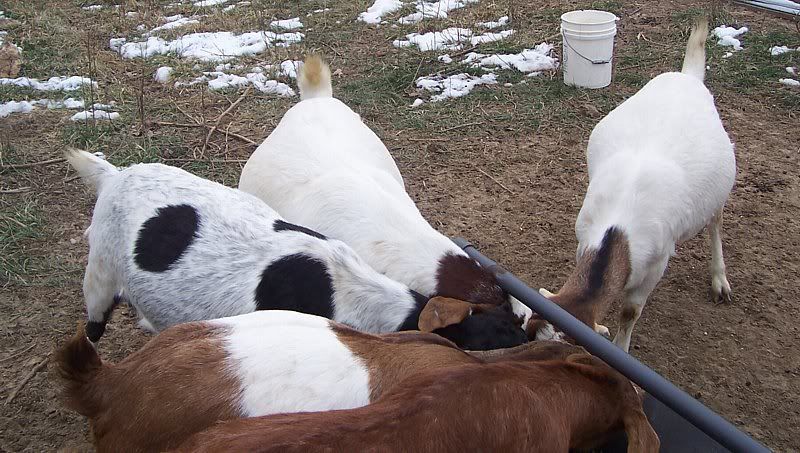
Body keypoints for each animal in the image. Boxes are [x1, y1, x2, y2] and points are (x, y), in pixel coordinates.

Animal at [65, 149, 526, 349]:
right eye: (500, 335)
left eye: (510, 320)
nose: (528, 335)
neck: (345, 289)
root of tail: (113, 174)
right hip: (99, 271)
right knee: (94, 321)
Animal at [533, 19, 736, 352]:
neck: (619, 225)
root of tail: (687, 76)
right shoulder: (584, 238)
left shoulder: (657, 262)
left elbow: (630, 310)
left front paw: (620, 347)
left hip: (721, 186)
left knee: (715, 222)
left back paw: (720, 280)